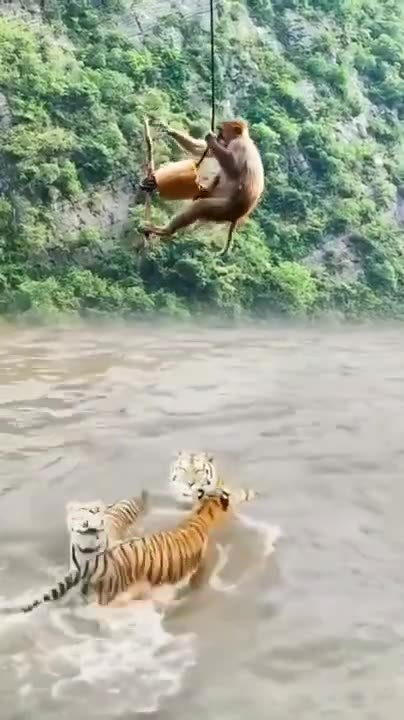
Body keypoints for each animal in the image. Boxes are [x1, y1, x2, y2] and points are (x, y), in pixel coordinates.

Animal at [142, 120, 265, 257]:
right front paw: (169, 129)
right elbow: (207, 151)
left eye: (221, 131)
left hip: (226, 208)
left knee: (200, 207)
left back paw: (166, 230)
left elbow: (233, 168)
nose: (218, 137)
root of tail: (238, 216)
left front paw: (210, 138)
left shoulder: (238, 145)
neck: (242, 138)